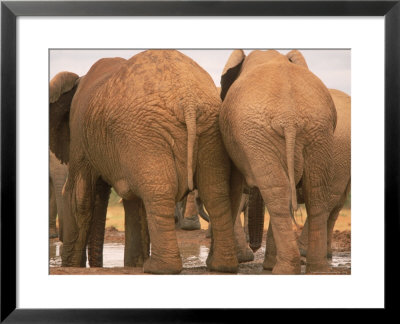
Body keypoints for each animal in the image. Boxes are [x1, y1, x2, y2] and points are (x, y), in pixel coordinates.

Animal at [48, 50, 239, 274]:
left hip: (146, 132)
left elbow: (77, 195)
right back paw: (222, 266)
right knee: (214, 191)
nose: (97, 266)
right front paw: (133, 264)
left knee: (158, 192)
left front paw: (72, 266)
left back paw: (159, 268)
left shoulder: (79, 133)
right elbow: (132, 201)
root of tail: (188, 100)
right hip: (207, 127)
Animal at [220, 49, 336, 274]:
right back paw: (316, 270)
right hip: (317, 131)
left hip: (260, 135)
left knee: (278, 192)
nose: (254, 247)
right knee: (313, 192)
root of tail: (289, 117)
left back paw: (283, 270)